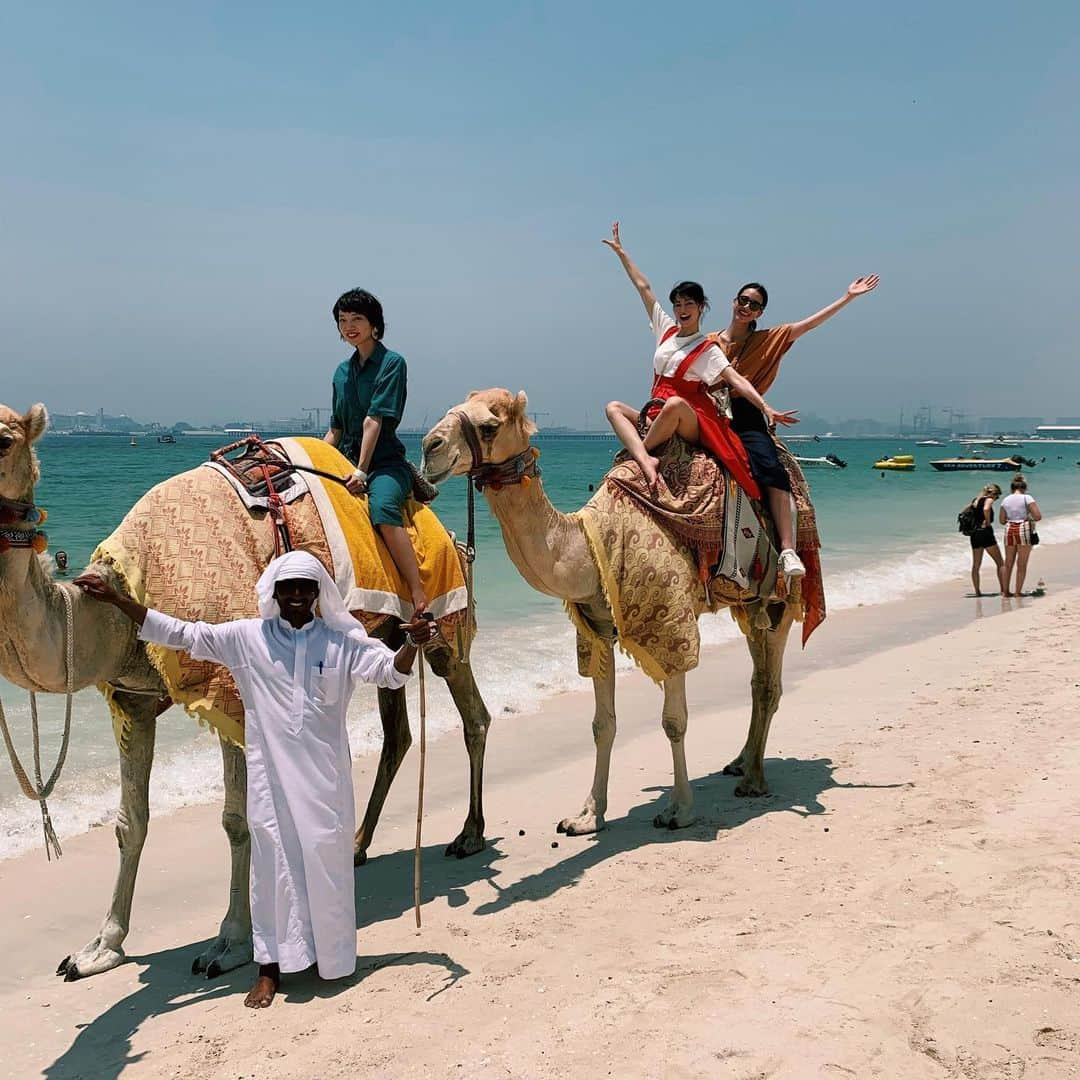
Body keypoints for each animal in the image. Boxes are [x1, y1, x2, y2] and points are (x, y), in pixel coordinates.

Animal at [421, 390, 803, 833]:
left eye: (489, 425)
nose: (429, 447)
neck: (591, 543)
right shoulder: (597, 631)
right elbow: (602, 725)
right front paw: (587, 815)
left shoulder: (669, 623)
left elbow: (674, 721)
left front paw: (679, 810)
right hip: (750, 606)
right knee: (758, 676)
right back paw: (741, 762)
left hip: (781, 598)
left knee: (769, 683)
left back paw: (754, 779)